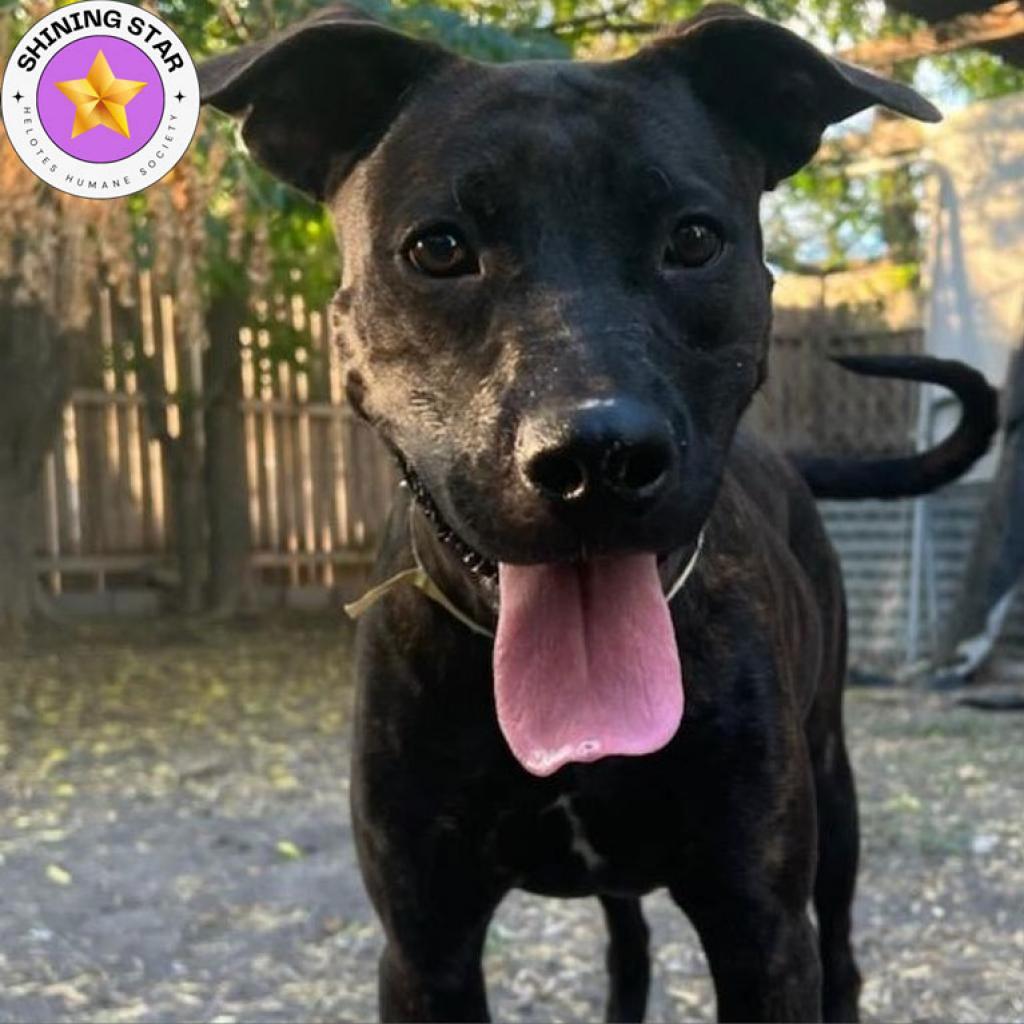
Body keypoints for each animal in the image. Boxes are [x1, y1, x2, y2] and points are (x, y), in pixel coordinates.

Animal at [197, 6, 991, 1015]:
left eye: (694, 239)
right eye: (438, 248)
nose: (597, 459)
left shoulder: (763, 933)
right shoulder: (424, 947)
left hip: (833, 790)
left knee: (843, 955)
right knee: (631, 946)